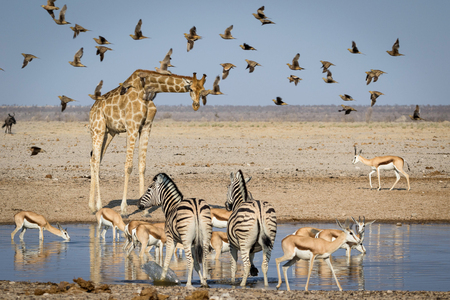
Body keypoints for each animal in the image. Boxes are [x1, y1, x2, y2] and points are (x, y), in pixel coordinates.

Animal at [88, 69, 207, 214]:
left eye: (203, 91)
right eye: (191, 88)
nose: (196, 105)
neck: (146, 89)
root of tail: (92, 108)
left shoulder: (146, 127)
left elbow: (142, 166)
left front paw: (144, 210)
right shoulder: (132, 126)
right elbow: (128, 166)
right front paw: (124, 208)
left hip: (109, 132)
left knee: (95, 159)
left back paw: (92, 206)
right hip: (98, 129)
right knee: (95, 161)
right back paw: (98, 205)